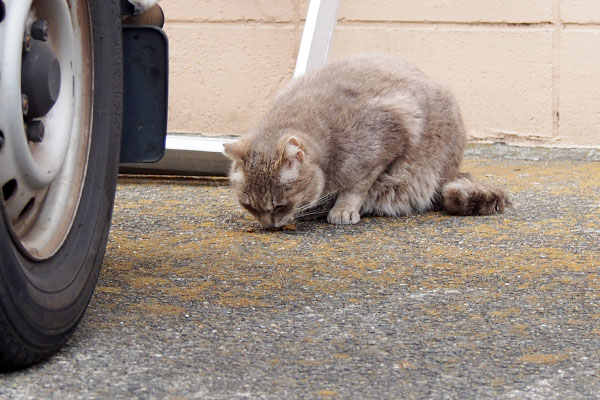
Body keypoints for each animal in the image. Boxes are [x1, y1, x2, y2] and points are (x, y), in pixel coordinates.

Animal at [224, 54, 510, 228]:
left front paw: (342, 210)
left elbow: (357, 186)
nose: (268, 226)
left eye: (281, 205)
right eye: (249, 207)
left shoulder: (388, 137)